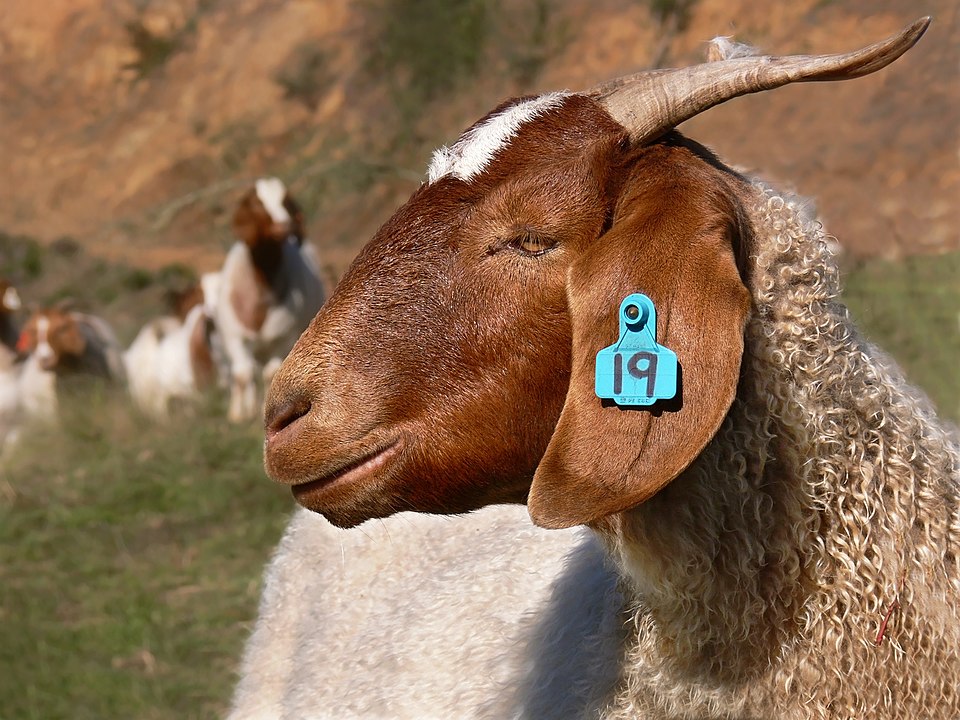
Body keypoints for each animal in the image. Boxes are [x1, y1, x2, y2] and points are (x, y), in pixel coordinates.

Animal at [214, 178, 326, 422]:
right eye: (257, 204)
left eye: (286, 201)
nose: (284, 227)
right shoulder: (235, 337)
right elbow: (242, 375)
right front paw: (239, 415)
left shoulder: (283, 338)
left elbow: (269, 374)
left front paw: (261, 413)